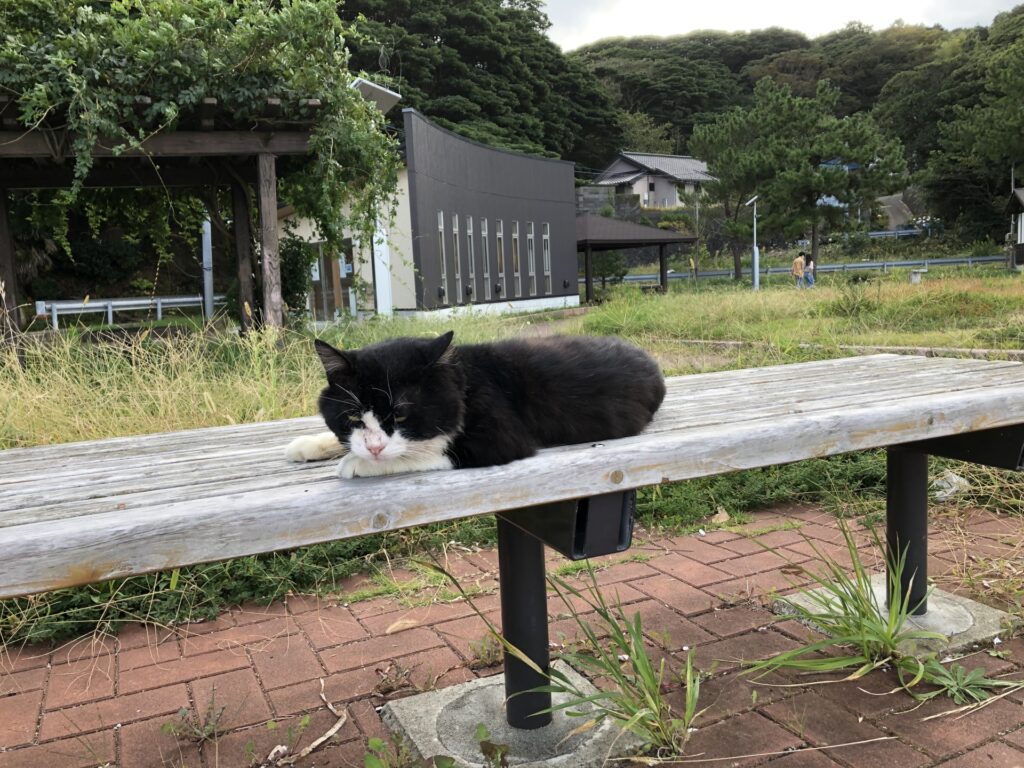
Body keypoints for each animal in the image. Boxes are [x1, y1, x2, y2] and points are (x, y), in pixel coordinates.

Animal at [284, 331, 663, 481]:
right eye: (352, 415)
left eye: (401, 413)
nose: (375, 448)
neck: (461, 380)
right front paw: (310, 444)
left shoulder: (499, 435)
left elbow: (423, 451)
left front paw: (356, 463)